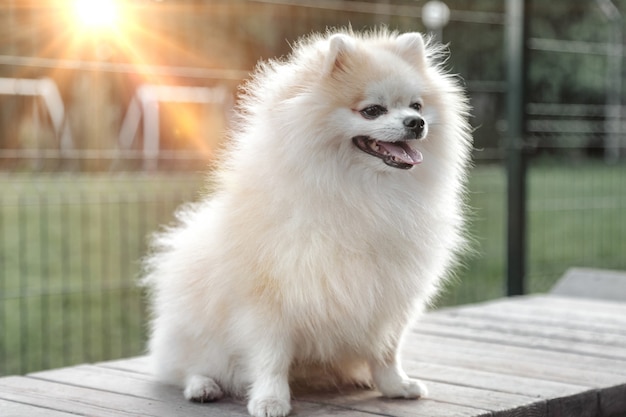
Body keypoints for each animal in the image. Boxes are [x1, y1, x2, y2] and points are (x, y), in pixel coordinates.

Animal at [144, 27, 470, 414]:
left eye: (416, 106)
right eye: (373, 111)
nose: (416, 123)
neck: (362, 192)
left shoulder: (389, 296)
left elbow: (387, 350)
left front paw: (395, 385)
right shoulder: (268, 299)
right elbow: (271, 357)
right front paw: (270, 399)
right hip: (194, 333)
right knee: (186, 367)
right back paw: (203, 386)